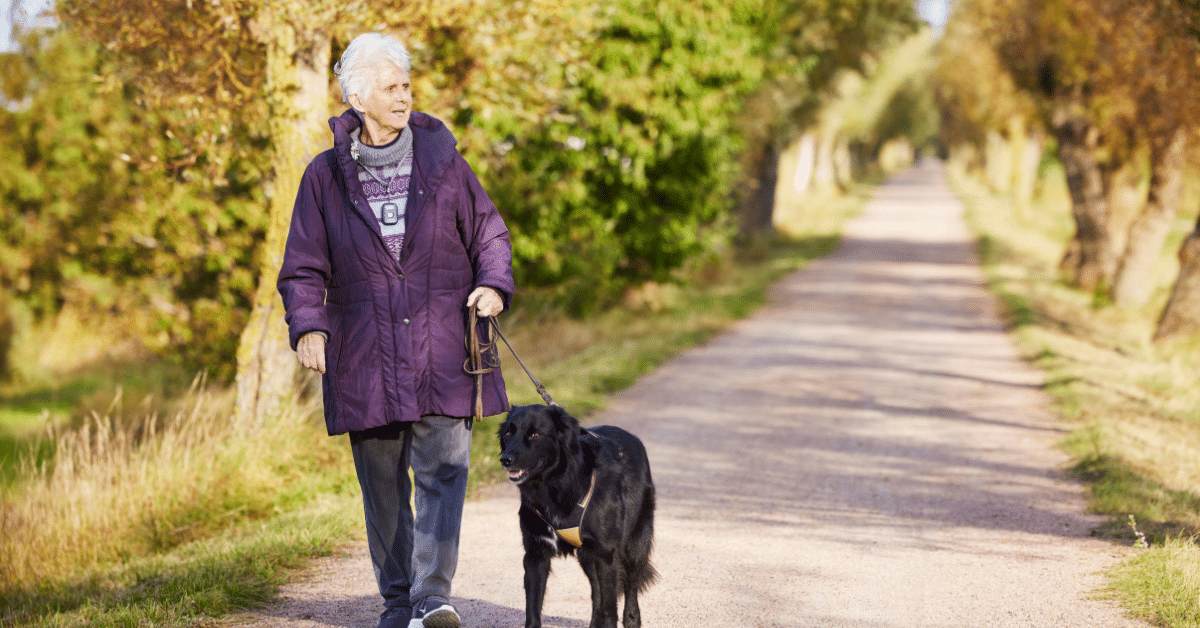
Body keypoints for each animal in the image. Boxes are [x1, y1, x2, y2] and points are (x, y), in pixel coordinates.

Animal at [501, 405, 662, 628]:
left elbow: (610, 608)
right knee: (596, 593)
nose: (505, 459)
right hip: (587, 556)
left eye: (536, 434)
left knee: (631, 584)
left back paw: (632, 619)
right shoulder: (535, 554)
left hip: (634, 543)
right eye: (508, 434)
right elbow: (532, 610)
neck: (553, 487)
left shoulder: (606, 554)